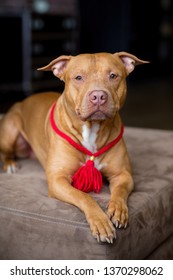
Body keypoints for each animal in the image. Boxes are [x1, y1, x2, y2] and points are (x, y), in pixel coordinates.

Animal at [0, 52, 148, 243]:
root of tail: (22, 102)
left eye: (113, 76)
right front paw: (100, 221)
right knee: (5, 152)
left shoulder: (123, 175)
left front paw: (118, 209)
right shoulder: (58, 180)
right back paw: (10, 164)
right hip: (11, 129)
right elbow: (84, 196)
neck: (91, 130)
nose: (98, 96)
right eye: (78, 77)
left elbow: (120, 192)